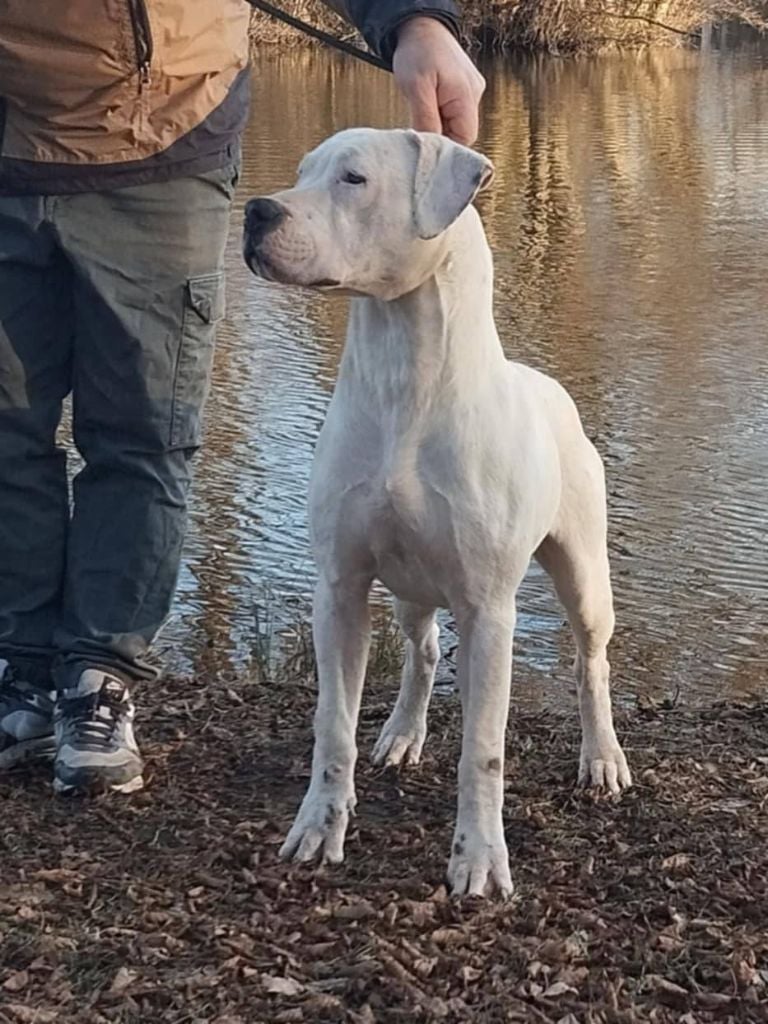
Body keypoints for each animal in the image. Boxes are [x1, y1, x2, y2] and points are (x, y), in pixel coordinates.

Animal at [243, 128, 634, 897]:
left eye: (354, 179)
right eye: (302, 171)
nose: (257, 211)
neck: (404, 379)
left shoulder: (489, 610)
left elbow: (483, 748)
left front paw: (478, 858)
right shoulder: (340, 588)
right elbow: (332, 726)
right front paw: (319, 829)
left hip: (583, 576)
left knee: (591, 663)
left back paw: (602, 758)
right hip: (409, 586)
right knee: (422, 652)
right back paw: (401, 732)